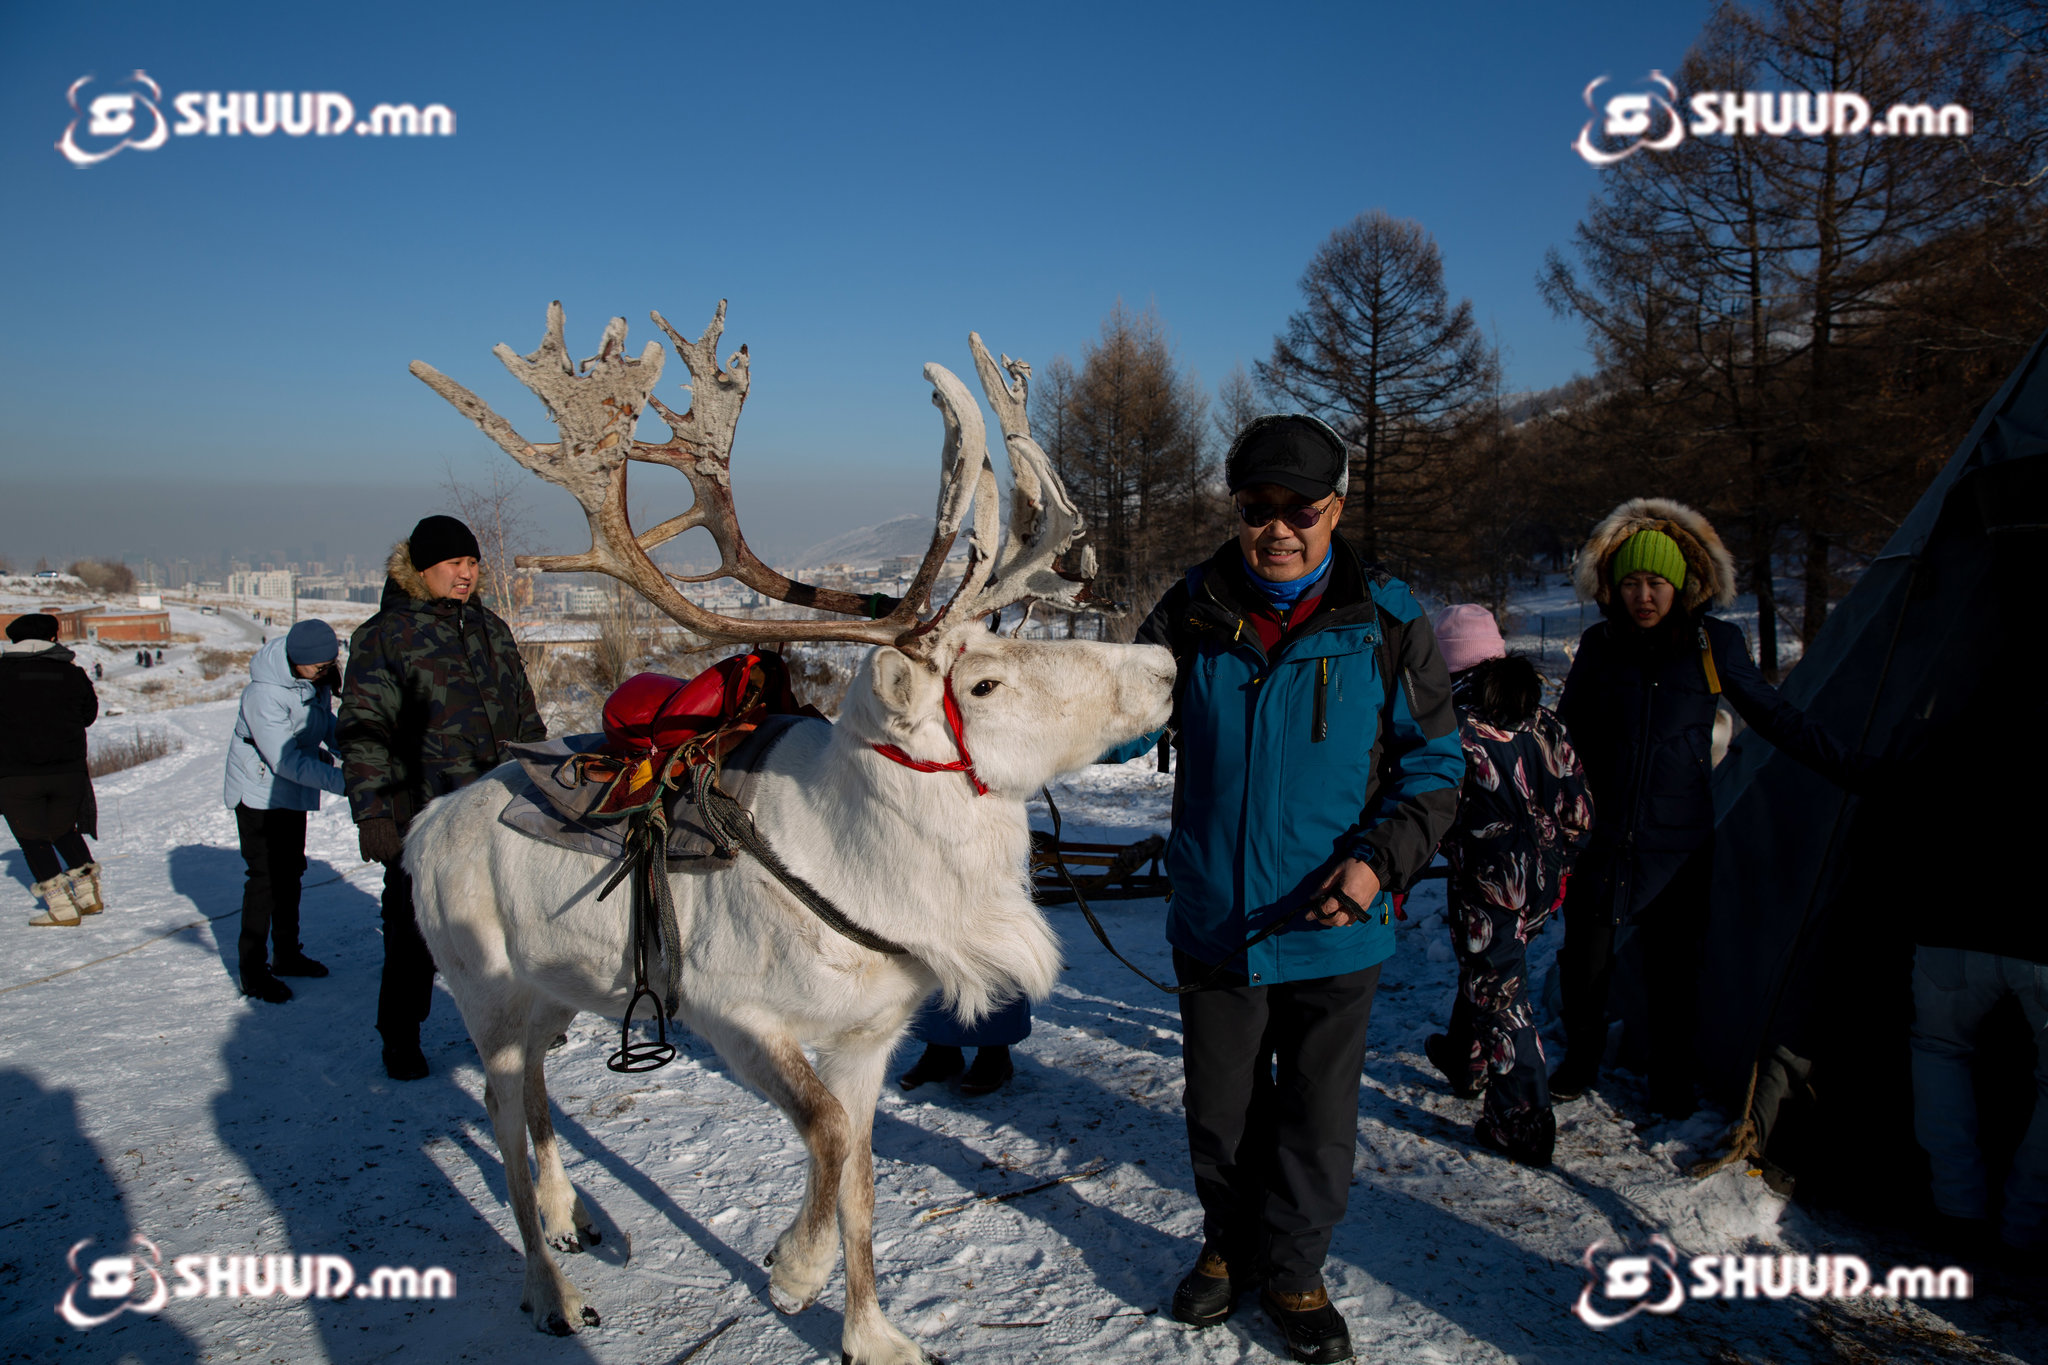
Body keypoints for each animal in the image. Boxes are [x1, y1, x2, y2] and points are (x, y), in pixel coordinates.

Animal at [400, 300, 1175, 1363]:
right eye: (981, 683)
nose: (1165, 664)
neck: (866, 872)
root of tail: (426, 824)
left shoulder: (870, 1037)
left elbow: (861, 1176)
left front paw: (872, 1332)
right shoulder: (734, 1015)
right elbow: (828, 1138)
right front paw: (791, 1269)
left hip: (556, 993)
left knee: (531, 1097)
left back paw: (572, 1213)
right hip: (488, 995)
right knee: (499, 1109)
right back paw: (549, 1288)